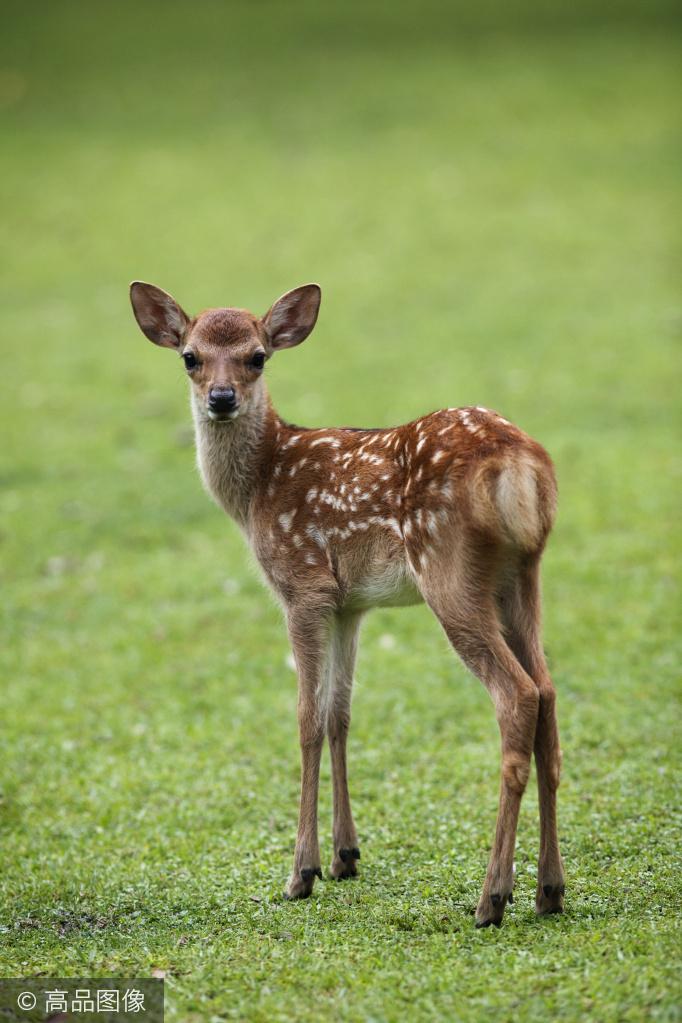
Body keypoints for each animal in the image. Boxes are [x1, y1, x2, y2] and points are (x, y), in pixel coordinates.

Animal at [127, 280, 564, 928]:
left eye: (257, 356)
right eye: (190, 357)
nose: (222, 398)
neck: (257, 489)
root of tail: (520, 466)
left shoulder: (302, 585)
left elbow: (306, 718)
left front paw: (300, 873)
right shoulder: (350, 604)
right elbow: (341, 714)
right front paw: (345, 856)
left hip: (449, 572)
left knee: (518, 696)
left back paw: (492, 897)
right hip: (522, 576)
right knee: (549, 694)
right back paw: (550, 889)